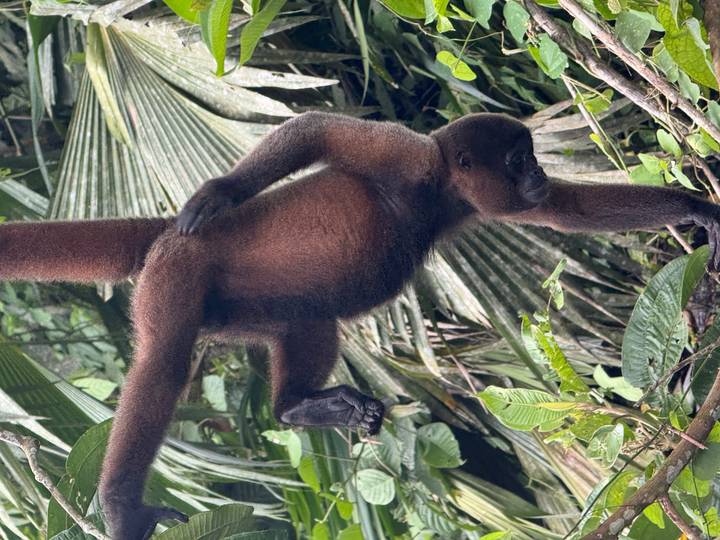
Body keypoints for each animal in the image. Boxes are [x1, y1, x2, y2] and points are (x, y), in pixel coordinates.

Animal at [1, 111, 719, 539]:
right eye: (518, 160)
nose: (538, 172)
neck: (438, 194)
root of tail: (161, 237)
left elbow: (567, 210)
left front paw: (695, 207)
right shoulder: (406, 158)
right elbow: (319, 129)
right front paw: (222, 191)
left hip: (241, 307)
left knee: (311, 322)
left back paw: (297, 408)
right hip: (176, 273)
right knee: (164, 361)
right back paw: (123, 505)